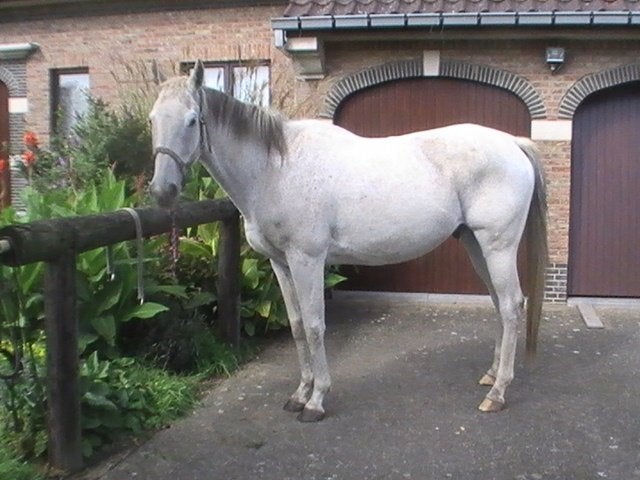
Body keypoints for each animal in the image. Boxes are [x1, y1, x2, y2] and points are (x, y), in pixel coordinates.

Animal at [149, 61, 548, 422]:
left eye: (191, 120)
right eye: (152, 119)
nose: (162, 191)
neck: (275, 169)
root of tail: (513, 143)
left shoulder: (307, 259)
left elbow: (314, 326)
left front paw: (315, 401)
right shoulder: (280, 263)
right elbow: (296, 325)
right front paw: (299, 393)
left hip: (497, 246)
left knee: (511, 305)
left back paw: (498, 393)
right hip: (475, 244)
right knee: (499, 305)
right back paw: (491, 376)